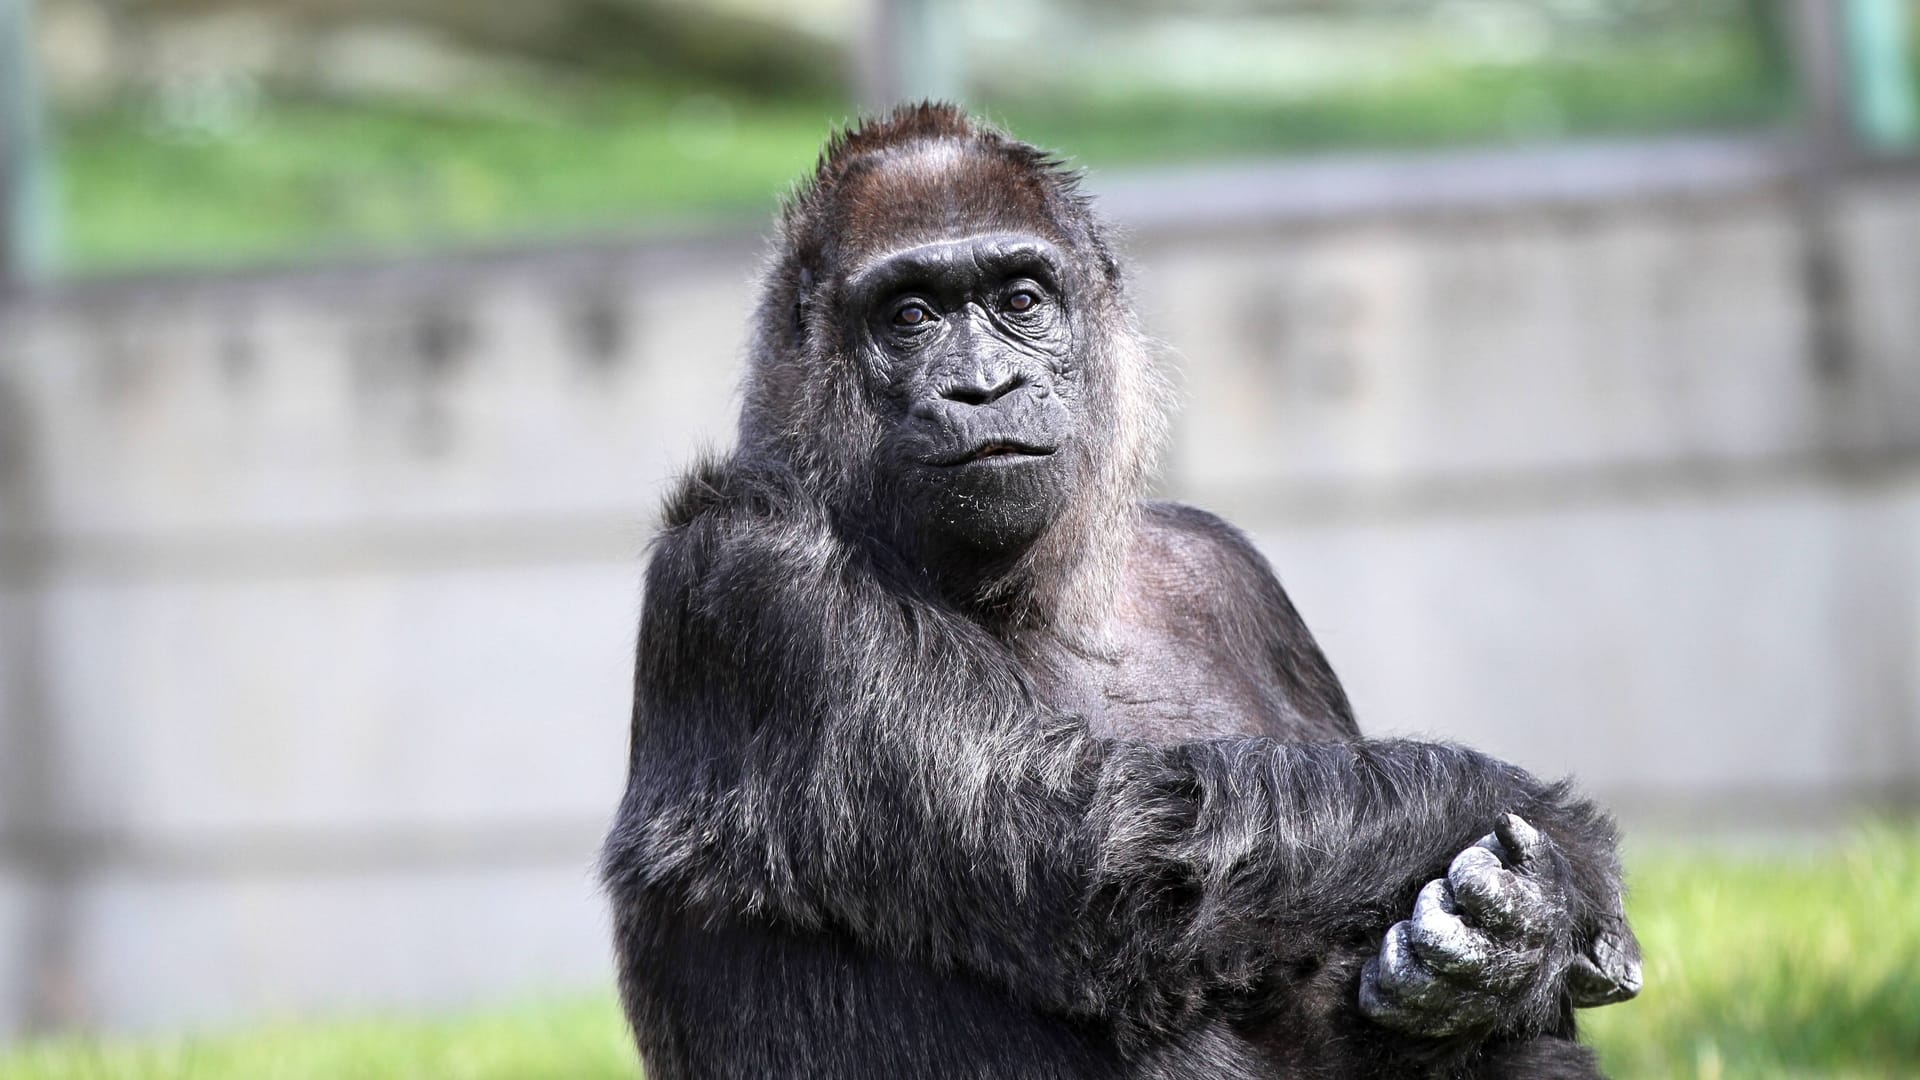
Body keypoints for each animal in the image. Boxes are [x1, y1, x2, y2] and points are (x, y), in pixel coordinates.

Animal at [599, 105, 1635, 1076]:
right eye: (909, 317)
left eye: (1020, 299)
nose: (984, 386)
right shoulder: (752, 577)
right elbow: (1110, 857)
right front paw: (1552, 844)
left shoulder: (1233, 573)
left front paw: (1517, 938)